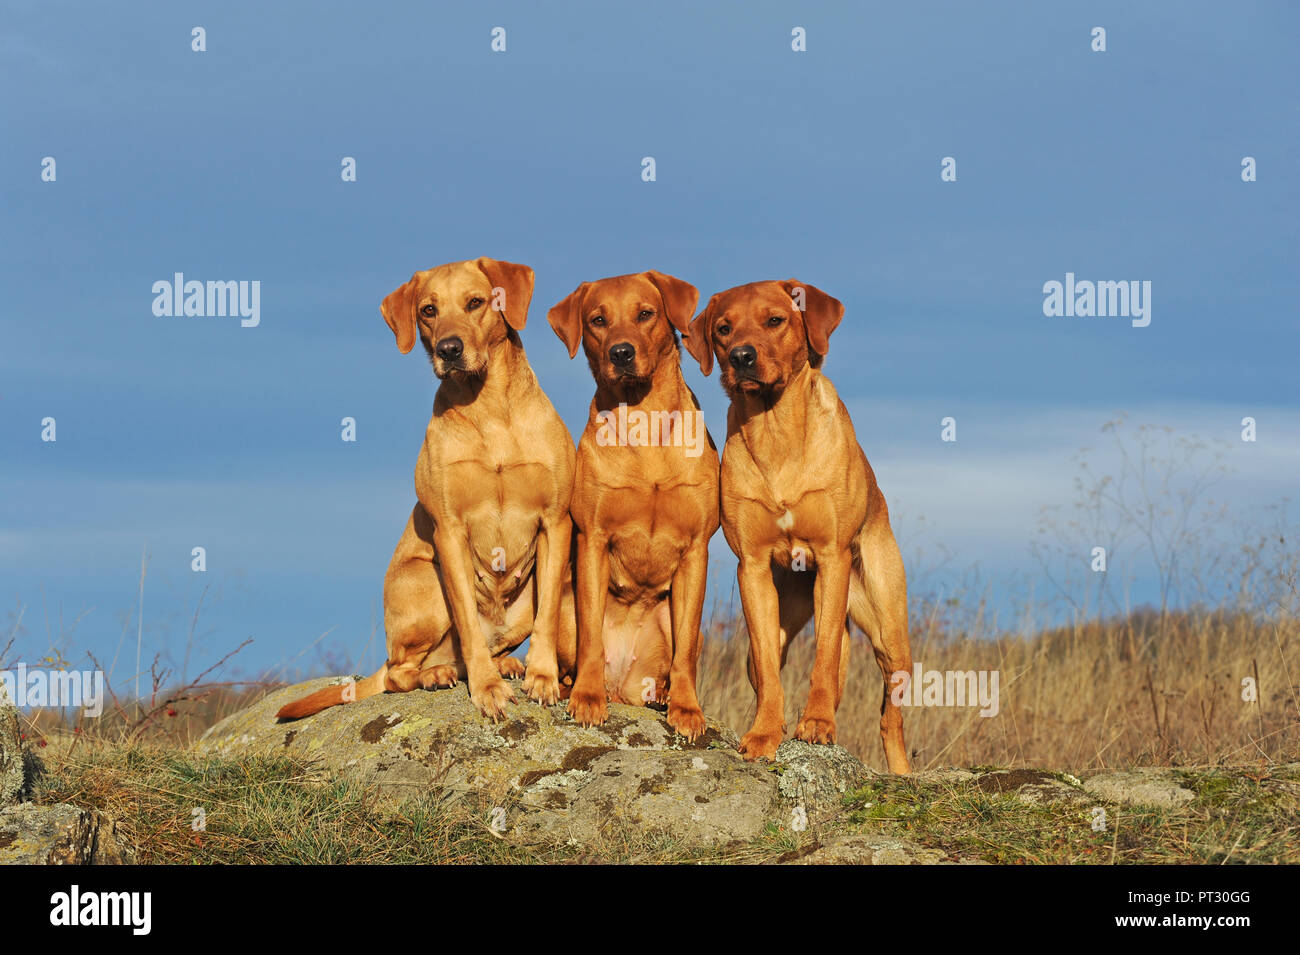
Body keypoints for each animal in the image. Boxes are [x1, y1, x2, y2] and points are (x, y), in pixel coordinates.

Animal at [276, 257, 577, 722]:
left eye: (475, 302)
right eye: (428, 311)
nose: (449, 350)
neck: (488, 405)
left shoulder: (556, 522)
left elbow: (547, 621)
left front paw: (542, 678)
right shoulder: (449, 532)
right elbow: (468, 622)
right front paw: (487, 689)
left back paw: (504, 663)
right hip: (426, 582)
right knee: (401, 673)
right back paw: (437, 674)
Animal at [546, 268, 722, 738]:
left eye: (645, 314)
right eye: (597, 320)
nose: (621, 353)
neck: (646, 422)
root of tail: (624, 681)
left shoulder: (696, 549)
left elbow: (686, 654)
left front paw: (686, 708)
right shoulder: (592, 538)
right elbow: (591, 638)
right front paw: (587, 698)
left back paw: (660, 694)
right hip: (564, 605)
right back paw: (577, 687)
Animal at [686, 280, 909, 774]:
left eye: (775, 320)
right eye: (723, 328)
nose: (741, 357)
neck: (776, 428)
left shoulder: (832, 556)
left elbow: (822, 659)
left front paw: (818, 726)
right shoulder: (751, 568)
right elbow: (771, 673)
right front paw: (765, 735)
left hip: (887, 627)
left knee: (891, 716)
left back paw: (902, 773)